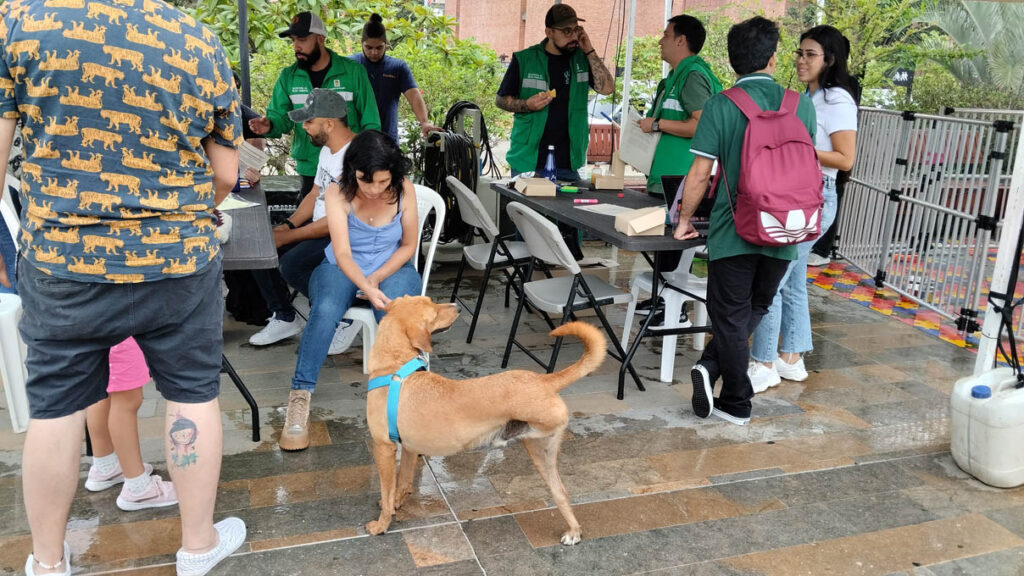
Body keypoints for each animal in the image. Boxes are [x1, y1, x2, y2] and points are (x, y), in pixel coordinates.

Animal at [364, 295, 602, 541]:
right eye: (434, 310)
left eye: (432, 303)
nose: (457, 306)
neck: (395, 367)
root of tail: (543, 381)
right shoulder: (409, 449)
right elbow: (401, 482)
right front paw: (395, 503)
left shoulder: (384, 448)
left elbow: (388, 489)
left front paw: (381, 524)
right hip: (541, 453)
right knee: (561, 492)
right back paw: (573, 531)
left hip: (543, 427)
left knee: (555, 421)